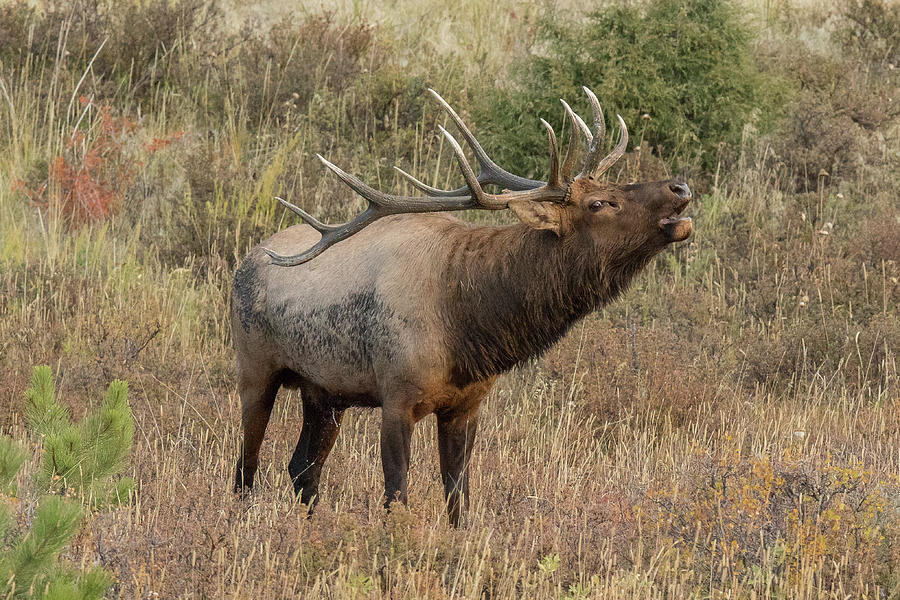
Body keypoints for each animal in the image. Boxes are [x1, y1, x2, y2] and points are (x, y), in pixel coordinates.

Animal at [231, 87, 693, 526]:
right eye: (598, 203)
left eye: (614, 186)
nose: (680, 187)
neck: (467, 328)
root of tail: (244, 261)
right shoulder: (396, 396)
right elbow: (396, 495)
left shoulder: (466, 405)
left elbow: (458, 498)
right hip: (255, 368)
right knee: (246, 467)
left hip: (323, 391)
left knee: (302, 468)